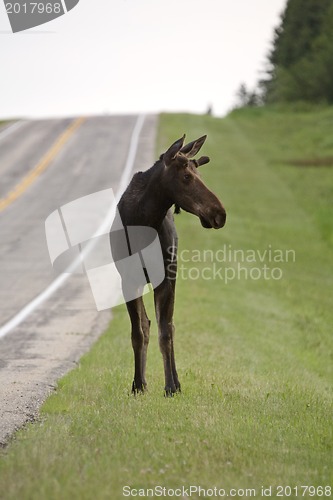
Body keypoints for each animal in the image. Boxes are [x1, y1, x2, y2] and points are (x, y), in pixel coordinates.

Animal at [111, 135, 226, 396]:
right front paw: (137, 384)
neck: (144, 221)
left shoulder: (164, 277)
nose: (220, 213)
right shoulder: (128, 280)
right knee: (148, 324)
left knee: (170, 327)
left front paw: (171, 386)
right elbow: (138, 331)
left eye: (198, 173)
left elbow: (165, 333)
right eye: (186, 177)